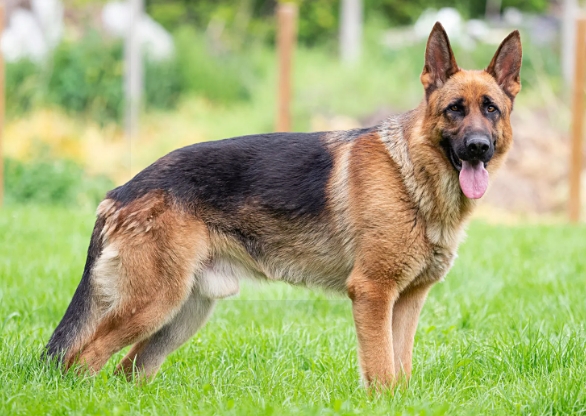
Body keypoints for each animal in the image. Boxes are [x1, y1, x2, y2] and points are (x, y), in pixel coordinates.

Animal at [45, 22, 520, 386]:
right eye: (455, 109)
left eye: (491, 109)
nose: (478, 147)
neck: (413, 175)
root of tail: (121, 191)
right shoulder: (372, 293)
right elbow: (382, 371)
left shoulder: (407, 301)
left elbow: (399, 369)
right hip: (154, 303)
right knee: (82, 359)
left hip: (183, 313)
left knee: (128, 369)